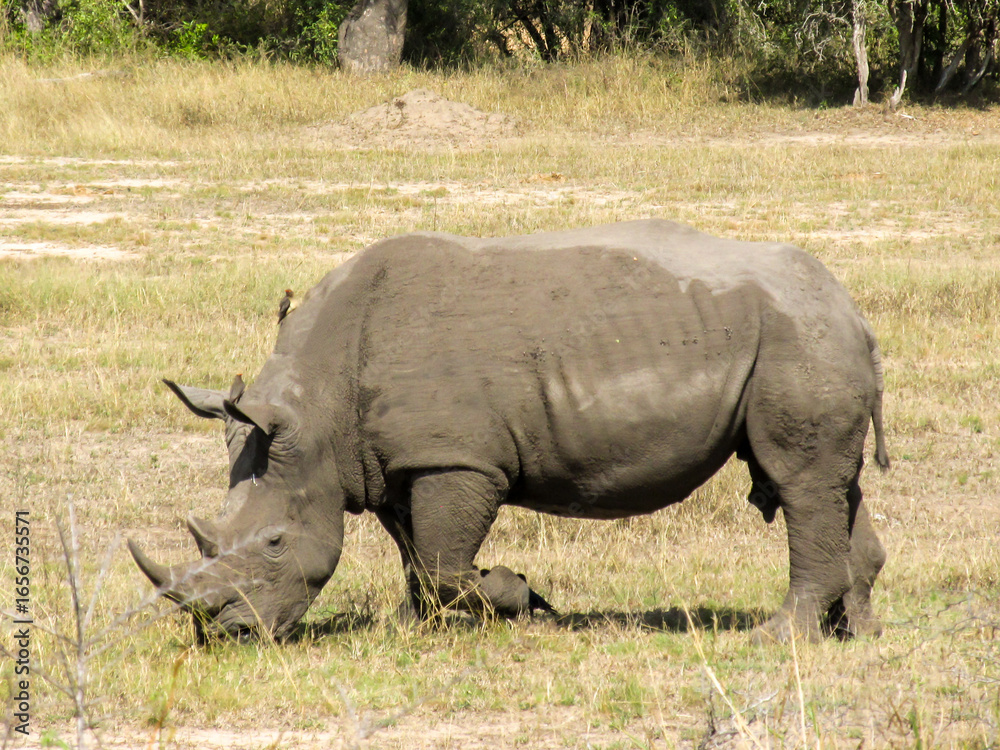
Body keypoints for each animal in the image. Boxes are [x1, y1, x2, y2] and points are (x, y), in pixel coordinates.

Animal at [129, 219, 889, 644]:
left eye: (275, 543)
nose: (226, 634)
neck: (315, 412)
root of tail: (855, 311)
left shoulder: (458, 460)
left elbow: (442, 561)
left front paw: (529, 601)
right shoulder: (392, 462)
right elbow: (416, 557)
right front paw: (413, 630)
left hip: (798, 341)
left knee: (797, 483)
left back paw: (779, 639)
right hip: (805, 338)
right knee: (828, 485)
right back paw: (855, 634)